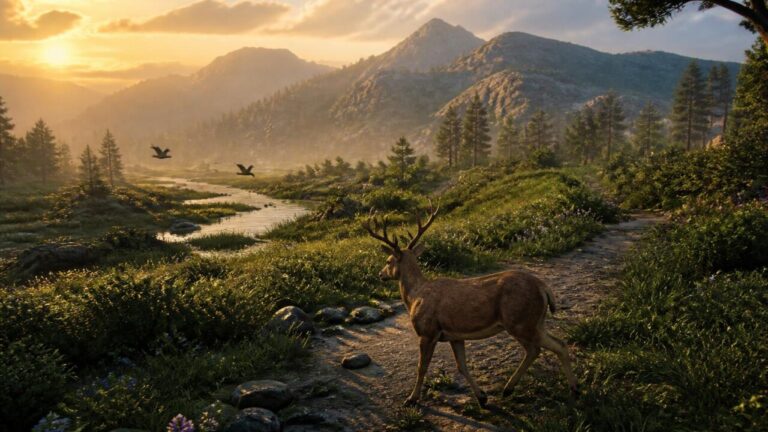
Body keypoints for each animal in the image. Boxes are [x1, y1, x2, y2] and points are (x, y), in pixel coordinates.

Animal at [362, 203, 579, 407]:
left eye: (388, 261)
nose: (380, 274)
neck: (415, 297)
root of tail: (543, 288)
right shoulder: (454, 335)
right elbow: (461, 366)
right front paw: (482, 397)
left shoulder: (427, 331)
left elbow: (422, 367)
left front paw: (411, 399)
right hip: (533, 321)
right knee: (541, 348)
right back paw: (513, 389)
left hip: (520, 321)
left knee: (551, 346)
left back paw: (568, 389)